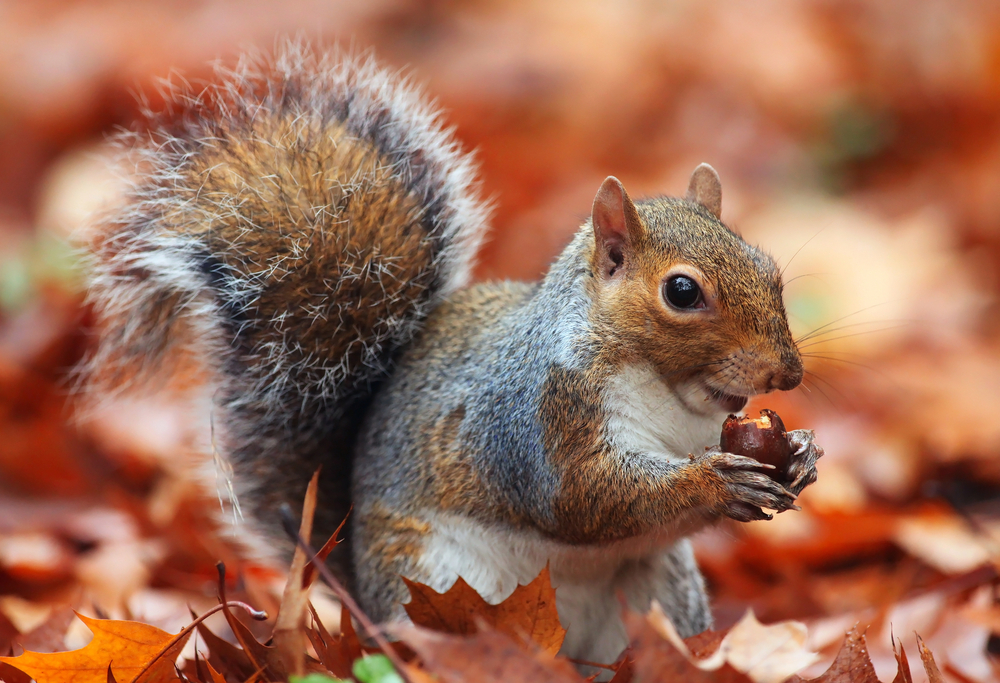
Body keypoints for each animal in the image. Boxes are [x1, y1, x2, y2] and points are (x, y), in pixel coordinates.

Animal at [85, 42, 822, 666]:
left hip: (657, 592)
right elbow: (583, 497)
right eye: (681, 291)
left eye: (769, 270)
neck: (671, 396)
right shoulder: (534, 420)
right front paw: (713, 483)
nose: (787, 373)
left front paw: (801, 455)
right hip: (437, 584)